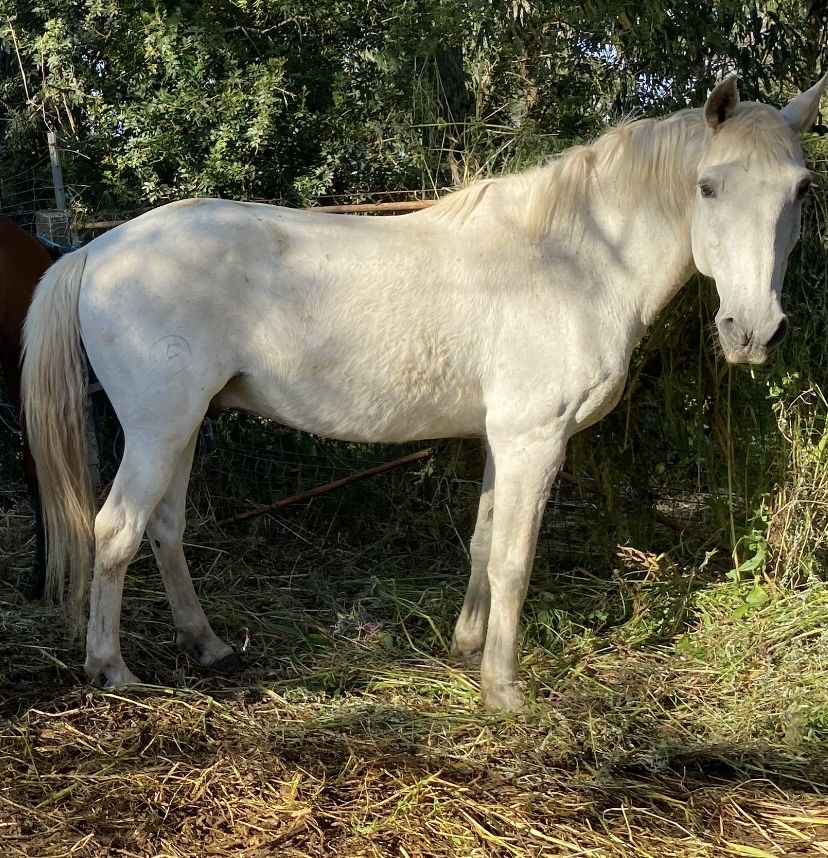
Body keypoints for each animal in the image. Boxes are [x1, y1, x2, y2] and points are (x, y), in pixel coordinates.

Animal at [21, 75, 828, 708]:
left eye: (800, 190)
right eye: (708, 186)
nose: (753, 331)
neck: (575, 259)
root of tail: (98, 248)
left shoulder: (505, 440)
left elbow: (483, 544)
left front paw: (466, 649)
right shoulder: (535, 441)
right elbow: (514, 561)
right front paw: (504, 690)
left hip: (185, 427)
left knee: (165, 527)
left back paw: (209, 645)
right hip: (160, 429)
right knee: (116, 530)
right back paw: (111, 669)